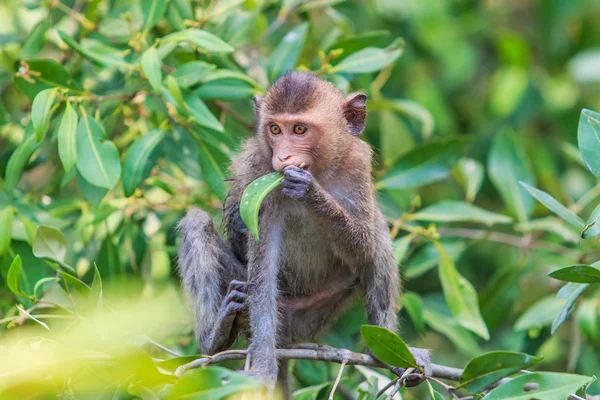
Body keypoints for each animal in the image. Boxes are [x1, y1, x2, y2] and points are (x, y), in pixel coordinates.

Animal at [178, 72, 432, 396]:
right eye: (275, 129)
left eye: (300, 129)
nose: (283, 155)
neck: (322, 169)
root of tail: (288, 338)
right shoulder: (261, 181)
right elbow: (262, 273)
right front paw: (263, 368)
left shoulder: (357, 164)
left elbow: (364, 247)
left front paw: (311, 193)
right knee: (197, 224)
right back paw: (215, 337)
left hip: (313, 315)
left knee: (378, 234)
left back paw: (386, 353)